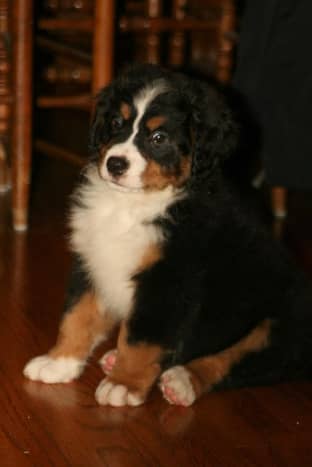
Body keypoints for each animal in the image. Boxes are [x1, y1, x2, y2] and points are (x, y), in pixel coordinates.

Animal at [22, 65, 312, 406]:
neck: (132, 205)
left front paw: (123, 384)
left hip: (279, 326)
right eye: (116, 123)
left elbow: (140, 339)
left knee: (234, 362)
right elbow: (77, 315)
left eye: (159, 138)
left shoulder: (167, 281)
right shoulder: (93, 258)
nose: (115, 164)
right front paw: (59, 362)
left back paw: (181, 380)